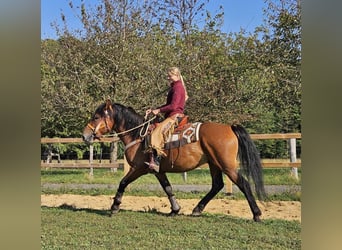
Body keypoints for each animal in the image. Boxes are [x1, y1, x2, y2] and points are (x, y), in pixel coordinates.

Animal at [82, 99, 268, 221]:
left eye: (96, 117)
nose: (85, 135)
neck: (138, 135)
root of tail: (230, 127)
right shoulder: (158, 171)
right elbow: (168, 188)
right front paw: (175, 209)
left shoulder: (139, 168)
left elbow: (123, 183)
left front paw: (114, 207)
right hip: (214, 164)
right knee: (217, 185)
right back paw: (197, 209)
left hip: (226, 166)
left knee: (243, 183)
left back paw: (257, 214)